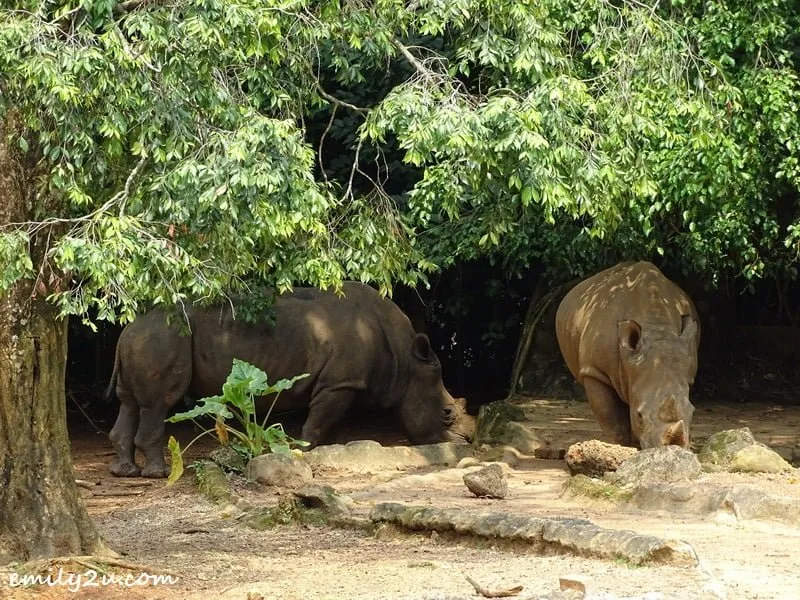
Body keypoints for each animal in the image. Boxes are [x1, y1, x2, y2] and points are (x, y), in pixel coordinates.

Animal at [106, 282, 472, 477]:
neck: (406, 361)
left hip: (145, 339)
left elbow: (329, 425)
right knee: (158, 404)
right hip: (164, 338)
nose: (467, 443)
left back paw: (125, 472)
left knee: (129, 403)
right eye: (446, 413)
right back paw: (158, 474)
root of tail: (126, 331)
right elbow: (317, 423)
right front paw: (302, 452)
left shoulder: (340, 384)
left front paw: (329, 453)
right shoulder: (340, 383)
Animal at [555, 261, 700, 449]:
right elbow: (612, 420)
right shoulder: (595, 371)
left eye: (693, 413)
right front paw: (622, 448)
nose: (672, 448)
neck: (657, 328)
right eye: (639, 415)